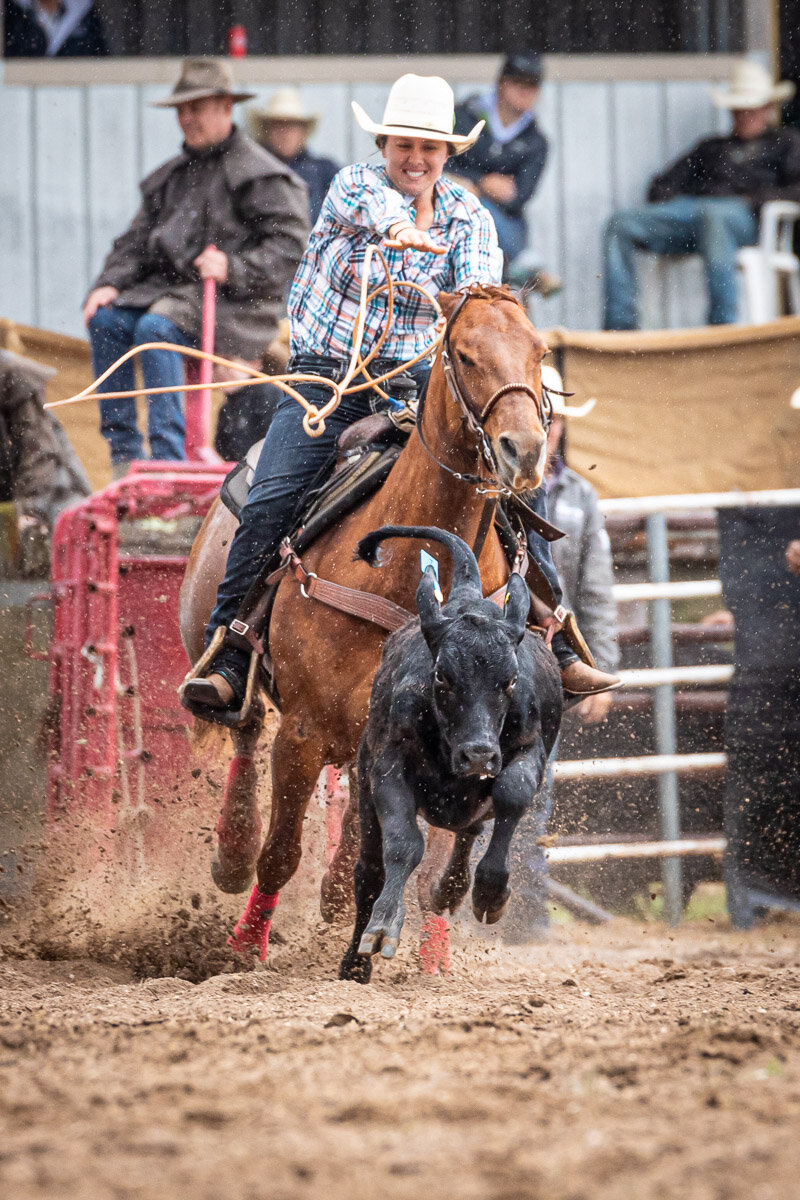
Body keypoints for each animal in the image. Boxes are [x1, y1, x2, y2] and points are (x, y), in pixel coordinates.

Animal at [177, 285, 551, 960]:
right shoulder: (302, 734)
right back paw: (232, 850)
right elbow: (281, 854)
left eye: (539, 352)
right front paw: (247, 944)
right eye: (464, 354)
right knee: (242, 725)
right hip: (221, 653)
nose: (525, 450)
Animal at [340, 525, 563, 984]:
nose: (478, 755)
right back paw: (355, 962)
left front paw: (491, 891)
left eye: (510, 680)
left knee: (467, 837)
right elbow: (403, 845)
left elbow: (512, 793)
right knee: (368, 870)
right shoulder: (388, 765)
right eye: (442, 676)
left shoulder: (528, 748)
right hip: (365, 792)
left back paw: (453, 889)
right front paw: (383, 925)